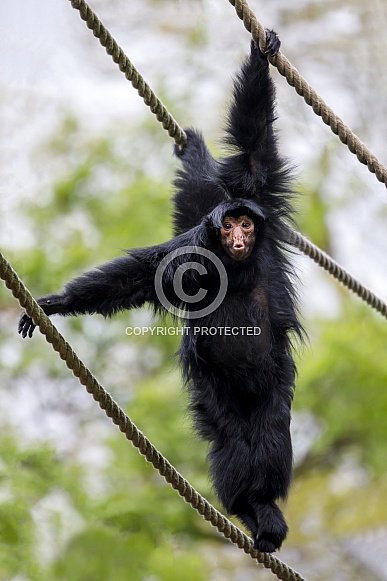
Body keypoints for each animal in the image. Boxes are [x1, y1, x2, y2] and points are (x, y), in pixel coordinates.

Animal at [18, 30, 304, 552]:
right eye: (229, 224)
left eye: (246, 224)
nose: (237, 234)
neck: (235, 268)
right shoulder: (192, 249)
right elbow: (140, 275)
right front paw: (57, 303)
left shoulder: (259, 205)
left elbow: (254, 152)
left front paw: (262, 53)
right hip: (215, 384)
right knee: (229, 437)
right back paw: (250, 507)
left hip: (275, 377)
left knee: (271, 429)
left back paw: (262, 506)